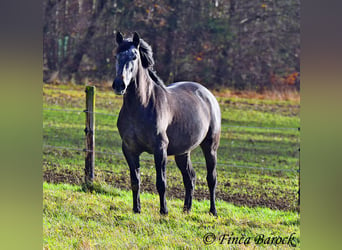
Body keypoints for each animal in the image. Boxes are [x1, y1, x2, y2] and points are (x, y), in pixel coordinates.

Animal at [111, 32, 220, 216]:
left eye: (134, 56)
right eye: (116, 56)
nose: (119, 85)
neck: (141, 105)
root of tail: (207, 94)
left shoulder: (160, 149)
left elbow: (161, 182)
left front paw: (164, 211)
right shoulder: (129, 149)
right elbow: (135, 181)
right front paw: (136, 209)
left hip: (210, 147)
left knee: (211, 178)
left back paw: (213, 211)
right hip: (183, 152)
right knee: (190, 178)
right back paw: (186, 209)